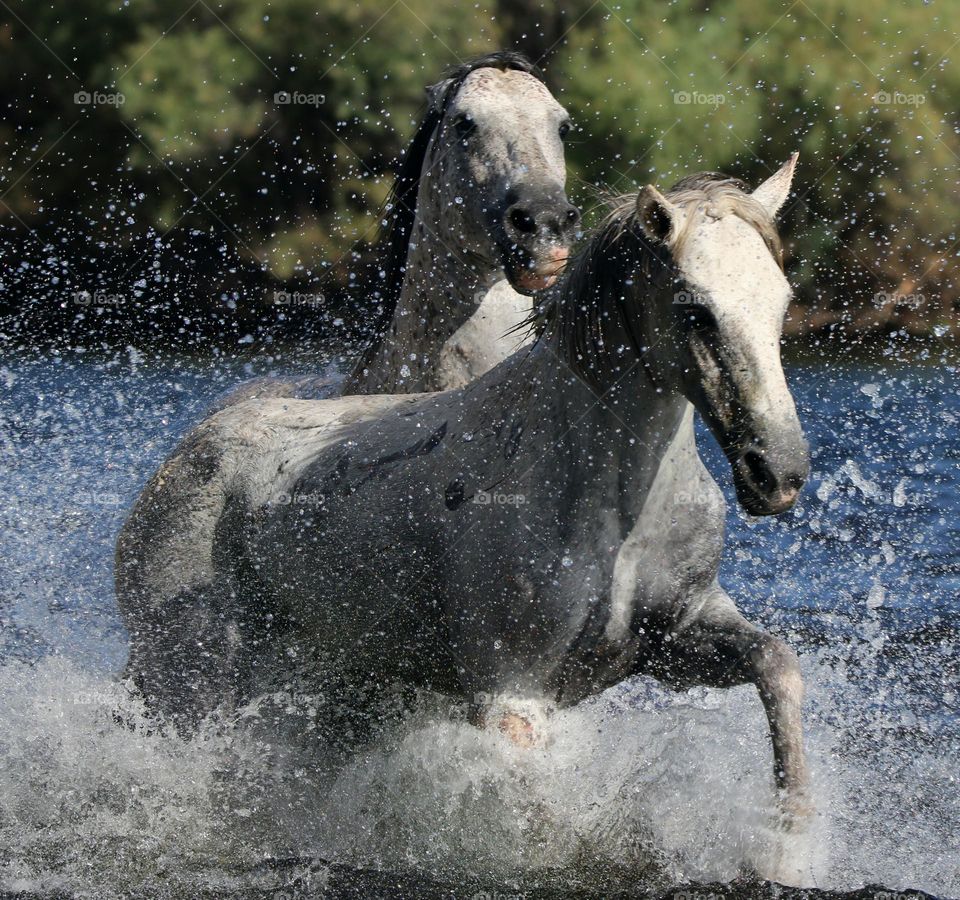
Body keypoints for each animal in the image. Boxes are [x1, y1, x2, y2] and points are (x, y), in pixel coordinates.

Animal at [116, 155, 811, 828]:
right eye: (696, 310)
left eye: (781, 304)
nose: (779, 475)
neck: (615, 508)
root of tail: (185, 458)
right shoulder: (512, 695)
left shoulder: (674, 639)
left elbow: (777, 666)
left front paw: (791, 838)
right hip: (194, 683)